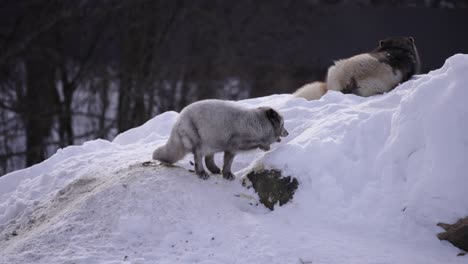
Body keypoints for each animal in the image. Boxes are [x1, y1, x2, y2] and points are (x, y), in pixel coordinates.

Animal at [152, 99, 288, 179]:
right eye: (282, 124)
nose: (287, 133)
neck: (257, 124)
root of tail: (178, 120)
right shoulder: (234, 144)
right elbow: (228, 162)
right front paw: (227, 174)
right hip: (200, 142)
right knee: (198, 157)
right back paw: (201, 172)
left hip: (212, 143)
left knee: (208, 158)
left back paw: (214, 170)